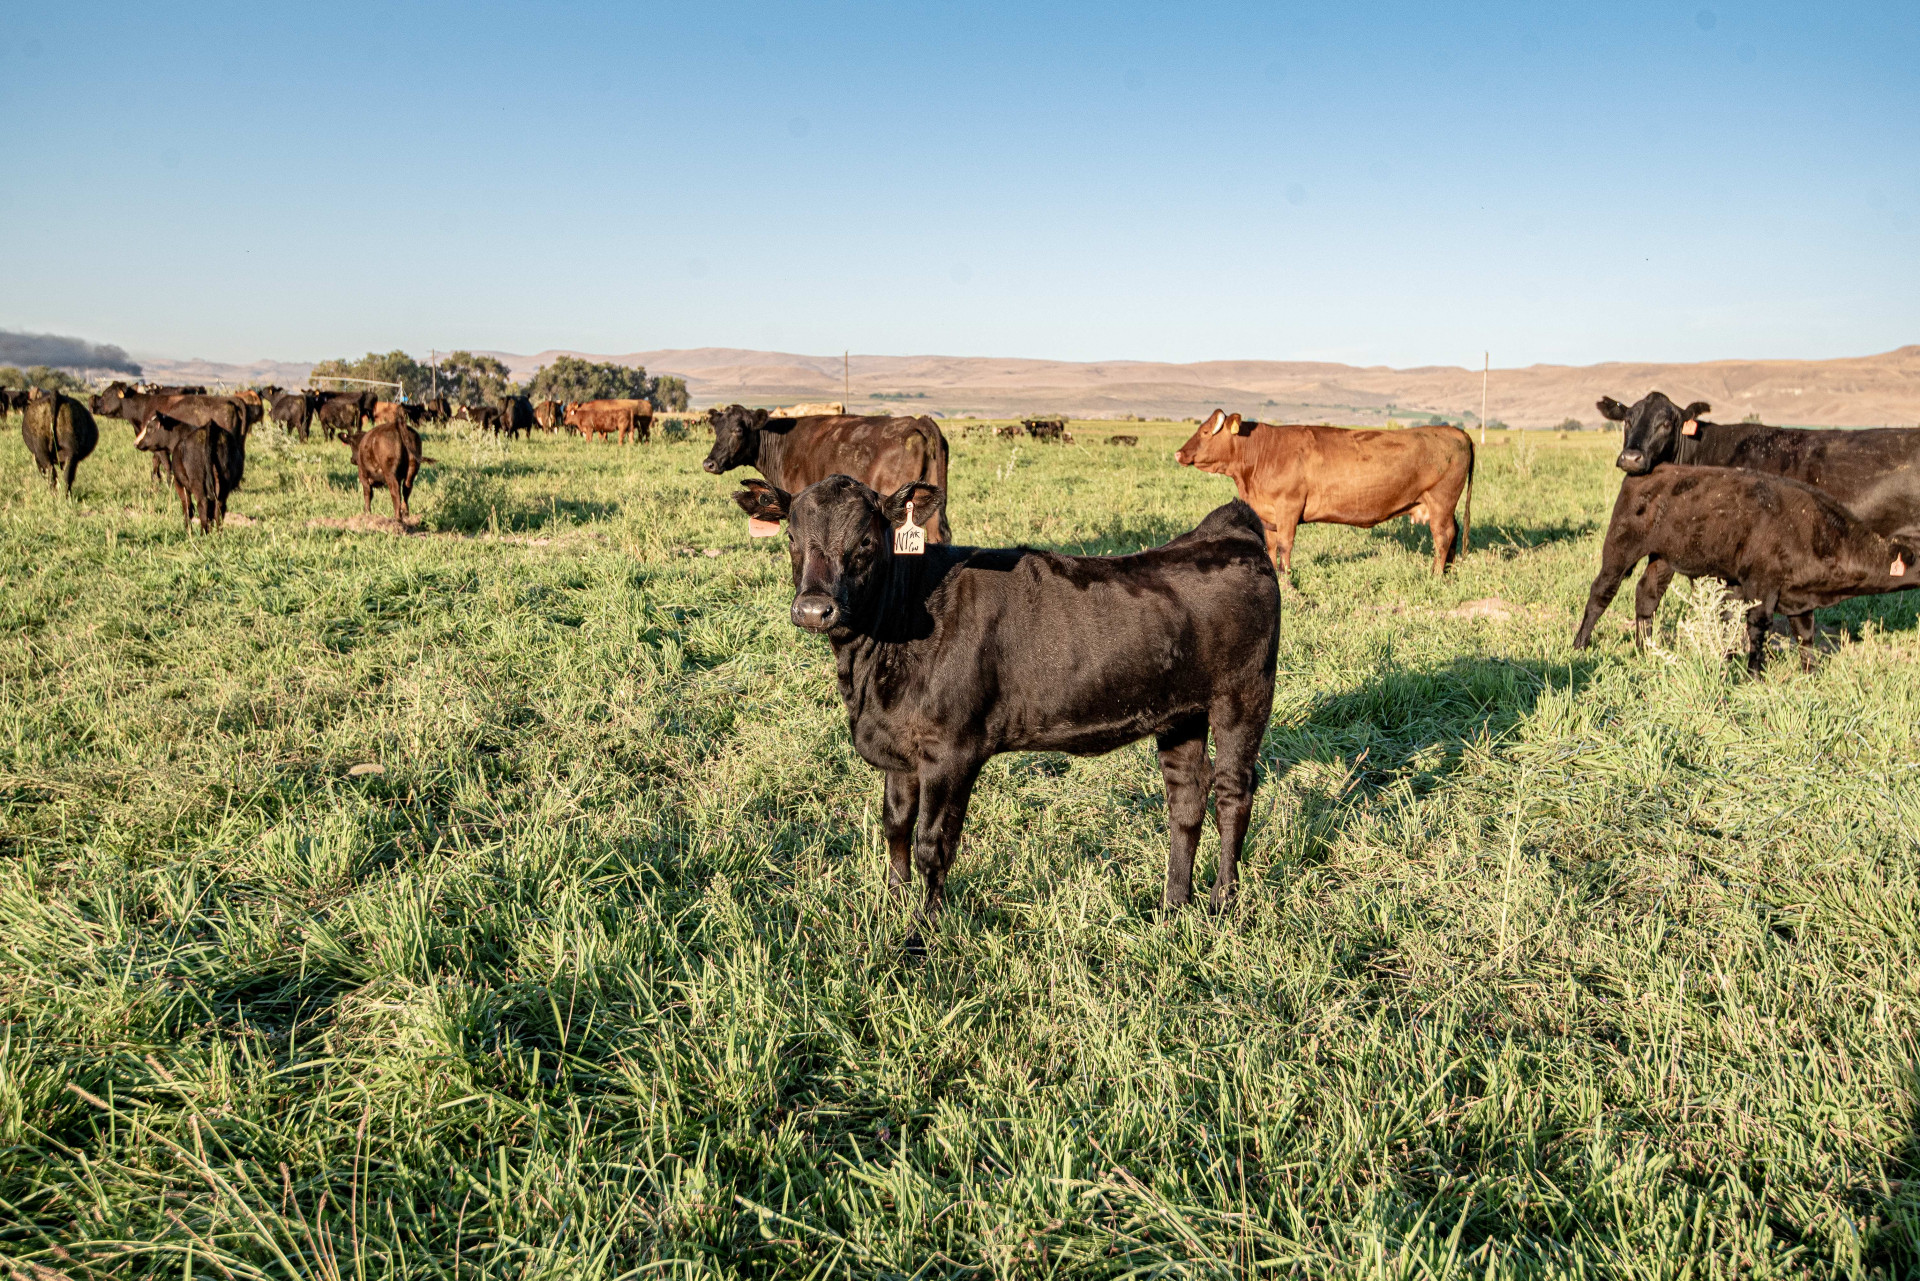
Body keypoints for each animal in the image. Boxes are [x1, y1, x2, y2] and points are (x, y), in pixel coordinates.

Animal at [734, 475, 1279, 924]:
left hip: (1244, 697)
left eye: (866, 541)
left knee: (1233, 794)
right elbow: (895, 828)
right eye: (790, 538)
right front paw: (891, 906)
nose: (813, 609)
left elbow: (933, 844)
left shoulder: (952, 751)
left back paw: (1223, 905)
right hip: (1180, 713)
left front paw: (920, 937)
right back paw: (1173, 907)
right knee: (1187, 797)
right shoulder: (901, 748)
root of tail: (1227, 532)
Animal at [1175, 410, 1474, 577]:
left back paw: (1435, 576)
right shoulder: (1268, 514)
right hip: (1444, 505)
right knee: (1453, 532)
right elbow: (1270, 546)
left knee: (1443, 535)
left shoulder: (1289, 507)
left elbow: (1285, 546)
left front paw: (1287, 580)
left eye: (1205, 431)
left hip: (1441, 500)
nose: (1179, 453)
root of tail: (1456, 431)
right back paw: (1449, 571)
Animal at [1573, 465, 1920, 675]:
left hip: (1663, 559)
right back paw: (1580, 644)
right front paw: (1754, 672)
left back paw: (1645, 648)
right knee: (1602, 592)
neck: (1815, 530)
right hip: (1620, 550)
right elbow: (1757, 626)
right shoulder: (1761, 588)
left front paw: (1810, 673)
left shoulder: (1799, 597)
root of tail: (1656, 470)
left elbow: (1805, 635)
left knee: (1647, 596)